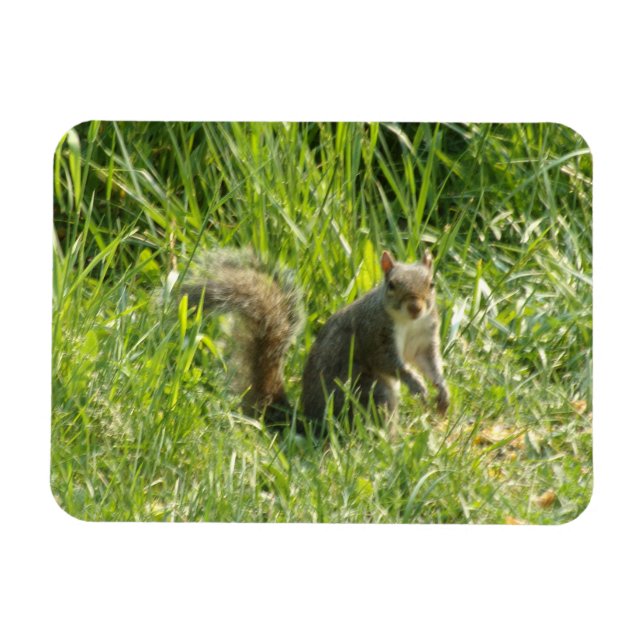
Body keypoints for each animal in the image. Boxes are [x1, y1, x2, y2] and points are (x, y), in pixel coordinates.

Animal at [182, 247, 449, 430]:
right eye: (392, 284)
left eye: (432, 283)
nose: (415, 307)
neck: (409, 323)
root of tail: (310, 422)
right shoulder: (373, 334)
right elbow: (389, 363)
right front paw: (416, 383)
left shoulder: (425, 338)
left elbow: (429, 362)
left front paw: (441, 390)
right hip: (367, 392)